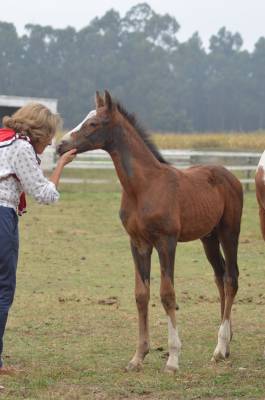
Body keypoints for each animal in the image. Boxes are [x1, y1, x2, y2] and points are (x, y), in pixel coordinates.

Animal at [56, 90, 242, 372]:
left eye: (93, 123)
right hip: (208, 237)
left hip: (229, 232)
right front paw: (138, 357)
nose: (60, 145)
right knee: (219, 277)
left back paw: (219, 348)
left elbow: (167, 294)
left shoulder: (166, 242)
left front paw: (173, 359)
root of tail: (230, 175)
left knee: (231, 279)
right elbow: (141, 295)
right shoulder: (138, 243)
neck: (143, 187)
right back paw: (226, 345)